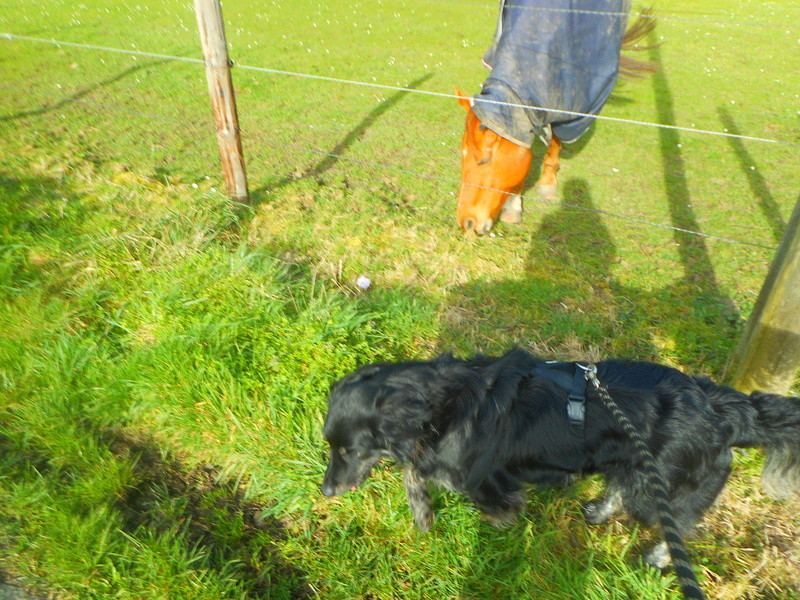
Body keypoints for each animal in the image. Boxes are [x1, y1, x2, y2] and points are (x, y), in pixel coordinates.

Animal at [320, 346, 800, 568]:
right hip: (635, 466)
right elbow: (415, 471)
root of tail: (722, 409)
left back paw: (659, 557)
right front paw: (422, 512)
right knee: (622, 489)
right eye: (330, 446)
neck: (443, 404)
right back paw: (598, 512)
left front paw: (495, 530)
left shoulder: (486, 479)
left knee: (679, 524)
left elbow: (481, 499)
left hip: (662, 486)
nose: (324, 491)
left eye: (350, 450)